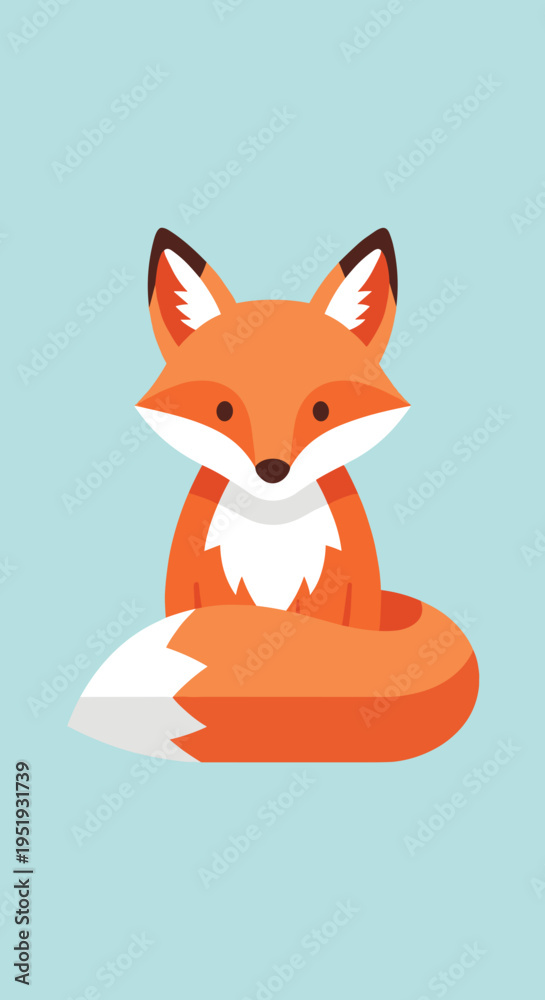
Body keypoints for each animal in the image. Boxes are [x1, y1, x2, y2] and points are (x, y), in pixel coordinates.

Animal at [69, 227, 478, 762]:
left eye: (322, 410)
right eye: (223, 410)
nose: (272, 471)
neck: (272, 533)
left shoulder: (351, 588)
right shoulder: (194, 581)